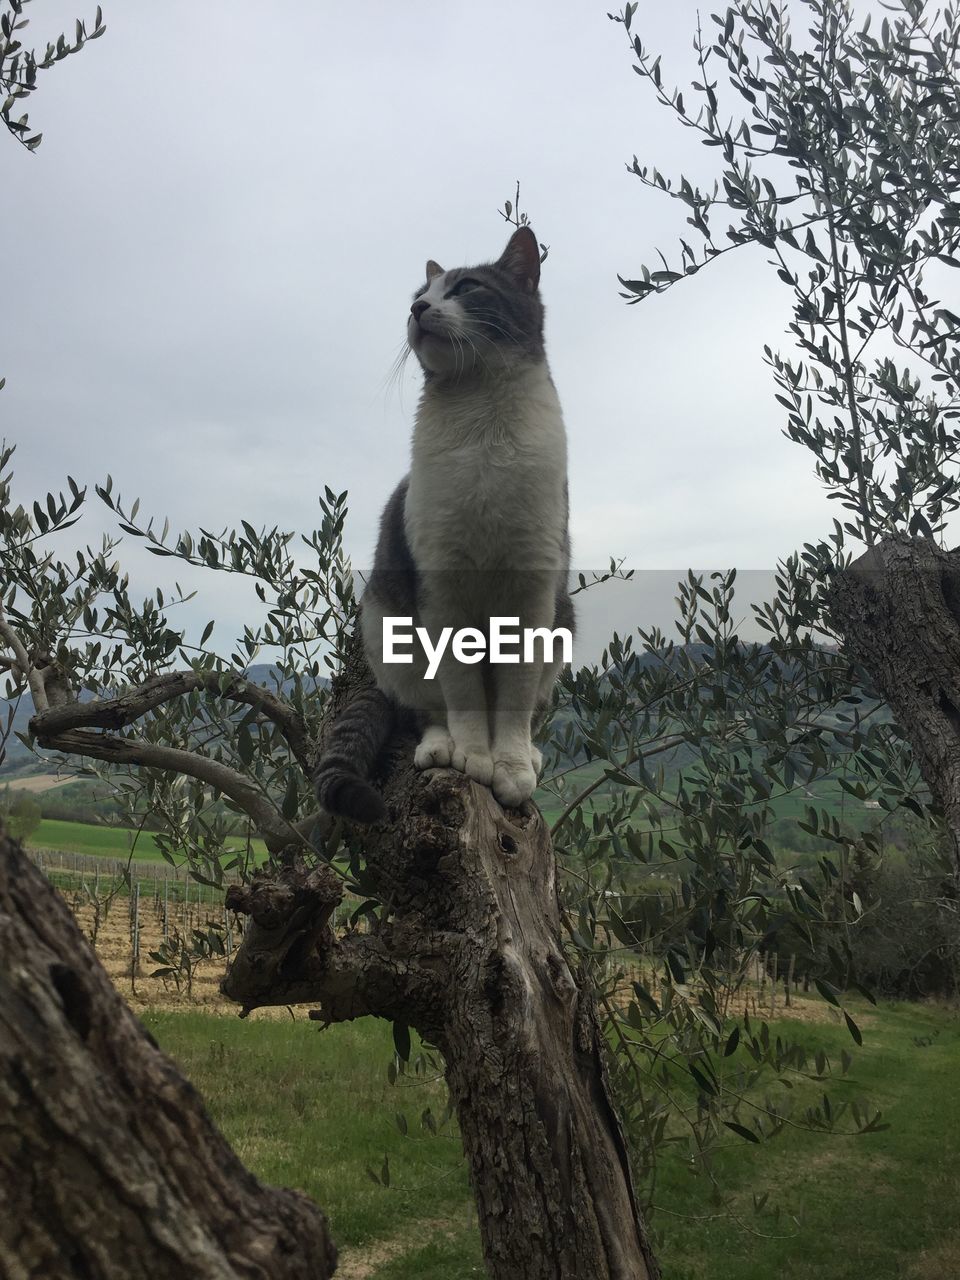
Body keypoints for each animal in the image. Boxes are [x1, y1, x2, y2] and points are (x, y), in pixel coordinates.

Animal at [316, 226, 576, 824]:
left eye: (466, 288)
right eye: (420, 293)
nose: (417, 308)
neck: (484, 427)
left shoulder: (532, 595)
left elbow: (514, 700)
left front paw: (511, 766)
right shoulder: (443, 591)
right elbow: (462, 693)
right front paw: (476, 757)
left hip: (564, 622)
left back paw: (529, 752)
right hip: (389, 626)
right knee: (424, 709)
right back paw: (441, 747)